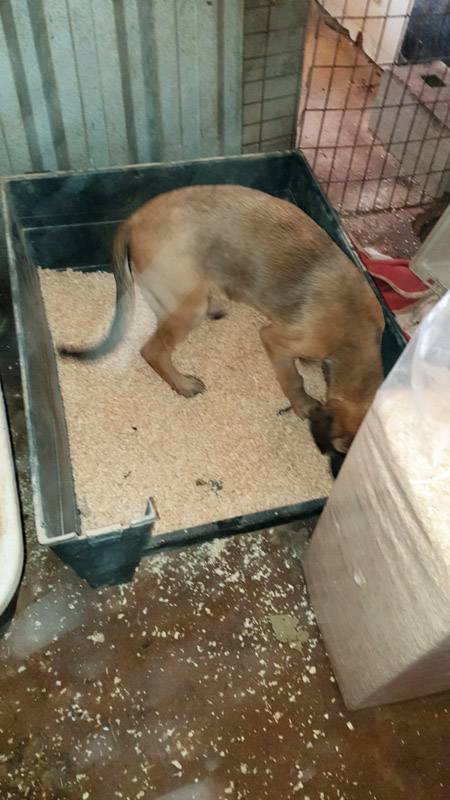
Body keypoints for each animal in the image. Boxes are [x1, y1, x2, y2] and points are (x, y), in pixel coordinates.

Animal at [60, 185, 385, 455]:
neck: (356, 332)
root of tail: (134, 220)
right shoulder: (277, 340)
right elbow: (292, 379)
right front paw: (302, 404)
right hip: (187, 306)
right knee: (152, 350)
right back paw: (183, 384)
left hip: (173, 295)